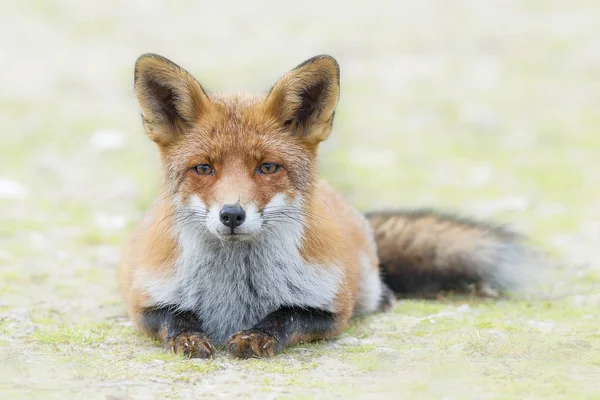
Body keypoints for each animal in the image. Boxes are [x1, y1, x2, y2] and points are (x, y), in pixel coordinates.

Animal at [117, 54, 536, 360]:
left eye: (267, 167)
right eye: (204, 168)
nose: (232, 214)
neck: (235, 290)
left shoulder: (330, 309)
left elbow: (285, 316)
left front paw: (256, 336)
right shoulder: (144, 301)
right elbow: (176, 318)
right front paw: (189, 338)